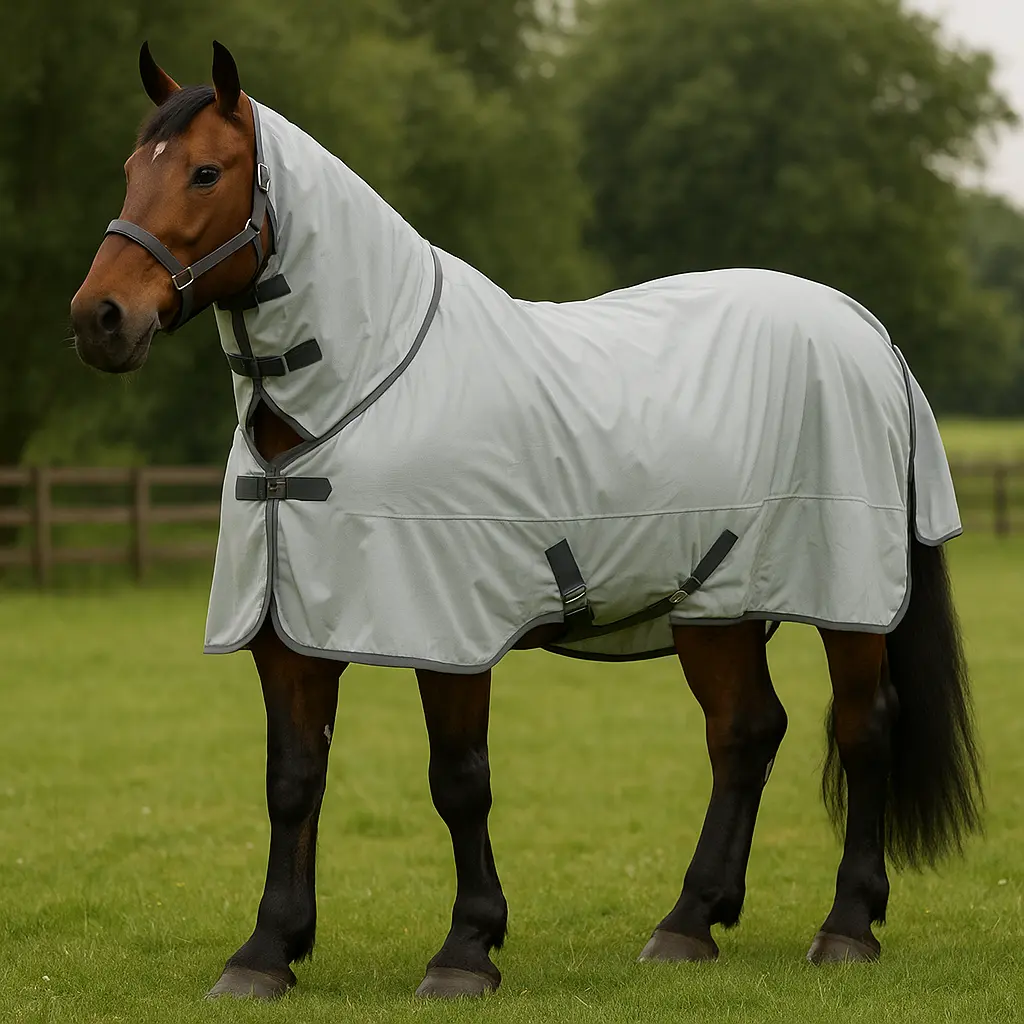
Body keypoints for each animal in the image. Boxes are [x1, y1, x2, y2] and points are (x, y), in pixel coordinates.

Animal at [70, 42, 982, 1001]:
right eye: (131, 169)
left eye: (206, 171)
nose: (100, 319)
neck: (360, 390)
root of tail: (866, 330)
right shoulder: (288, 633)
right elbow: (293, 781)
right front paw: (266, 952)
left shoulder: (451, 632)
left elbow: (459, 780)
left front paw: (467, 949)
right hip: (717, 602)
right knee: (744, 732)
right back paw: (689, 923)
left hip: (848, 596)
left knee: (863, 727)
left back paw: (847, 926)